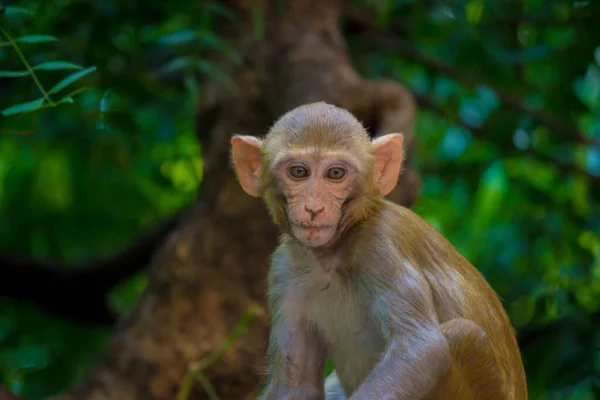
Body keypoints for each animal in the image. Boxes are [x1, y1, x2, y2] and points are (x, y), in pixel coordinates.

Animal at [232, 101, 528, 398]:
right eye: (299, 172)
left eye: (335, 173)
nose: (314, 208)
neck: (332, 253)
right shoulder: (284, 269)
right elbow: (295, 384)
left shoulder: (381, 245)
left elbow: (421, 346)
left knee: (462, 333)